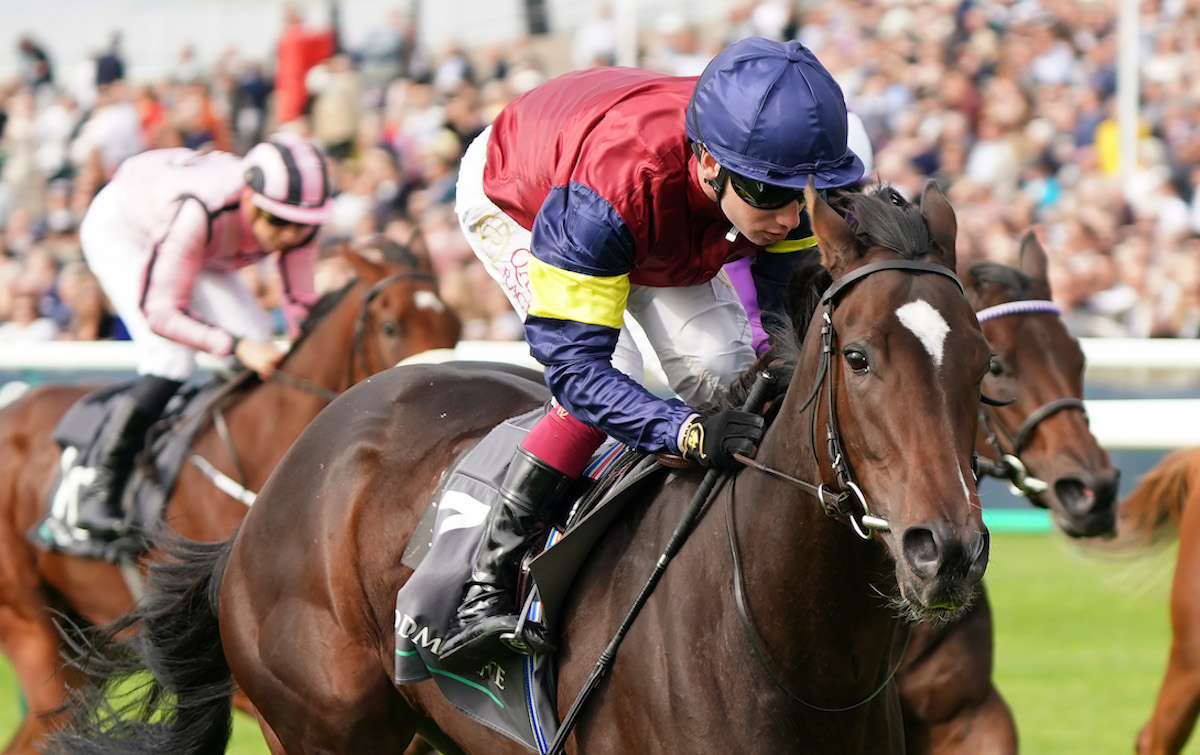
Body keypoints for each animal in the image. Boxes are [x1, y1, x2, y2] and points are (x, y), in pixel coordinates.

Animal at [54, 182, 993, 753]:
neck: (787, 641)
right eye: (860, 358)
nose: (944, 550)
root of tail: (272, 494)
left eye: (982, 364)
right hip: (320, 723)